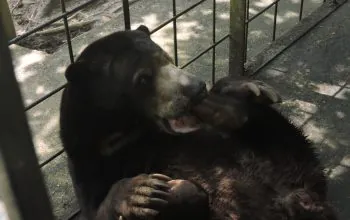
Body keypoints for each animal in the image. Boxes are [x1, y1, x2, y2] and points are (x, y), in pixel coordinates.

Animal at [59, 24, 336, 219]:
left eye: (168, 57)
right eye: (143, 78)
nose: (196, 89)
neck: (133, 132)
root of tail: (298, 195)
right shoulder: (87, 159)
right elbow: (95, 208)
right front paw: (142, 191)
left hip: (288, 151)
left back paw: (230, 102)